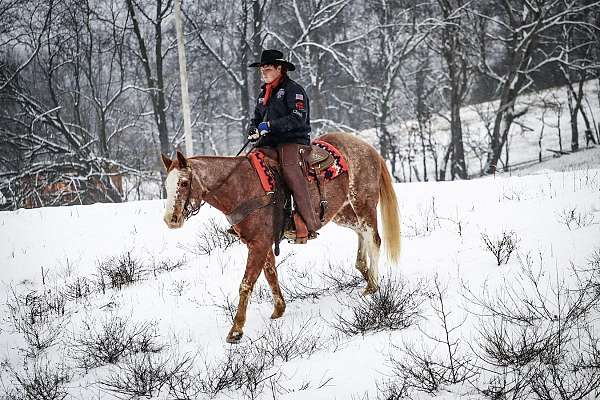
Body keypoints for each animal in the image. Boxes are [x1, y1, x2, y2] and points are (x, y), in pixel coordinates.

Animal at [162, 132, 400, 344]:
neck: (240, 186)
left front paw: (236, 330)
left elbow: (246, 284)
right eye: (166, 185)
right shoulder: (261, 243)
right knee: (361, 232)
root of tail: (367, 147)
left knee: (373, 238)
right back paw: (365, 272)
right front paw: (278, 309)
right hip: (341, 212)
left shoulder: (258, 244)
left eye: (183, 183)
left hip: (363, 203)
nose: (170, 220)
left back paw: (373, 285)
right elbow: (270, 275)